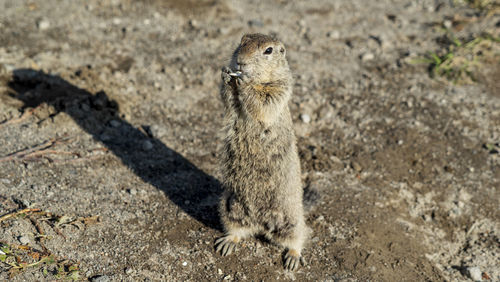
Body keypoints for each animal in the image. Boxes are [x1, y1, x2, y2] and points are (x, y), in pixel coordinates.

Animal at [216, 33, 308, 270]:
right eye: (241, 41)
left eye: (268, 50)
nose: (240, 61)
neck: (260, 79)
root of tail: (261, 225)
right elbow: (229, 100)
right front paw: (226, 75)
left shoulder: (281, 87)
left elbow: (265, 102)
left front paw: (243, 82)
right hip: (230, 208)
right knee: (238, 230)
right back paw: (227, 243)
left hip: (292, 219)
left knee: (298, 237)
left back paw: (293, 257)